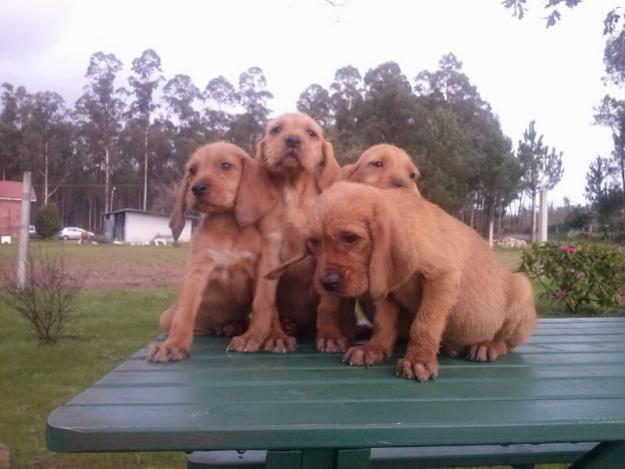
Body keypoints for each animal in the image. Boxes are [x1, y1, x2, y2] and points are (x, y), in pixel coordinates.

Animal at [225, 113, 342, 352]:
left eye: (311, 133)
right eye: (276, 130)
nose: (292, 140)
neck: (293, 190)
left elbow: (327, 303)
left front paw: (330, 335)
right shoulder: (270, 250)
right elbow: (265, 300)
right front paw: (260, 336)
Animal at [278, 179, 536, 380]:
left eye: (350, 238)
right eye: (313, 243)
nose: (327, 283)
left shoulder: (442, 278)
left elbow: (426, 322)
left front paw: (418, 360)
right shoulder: (386, 287)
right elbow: (384, 322)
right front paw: (374, 349)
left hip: (523, 290)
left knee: (506, 342)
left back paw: (487, 345)